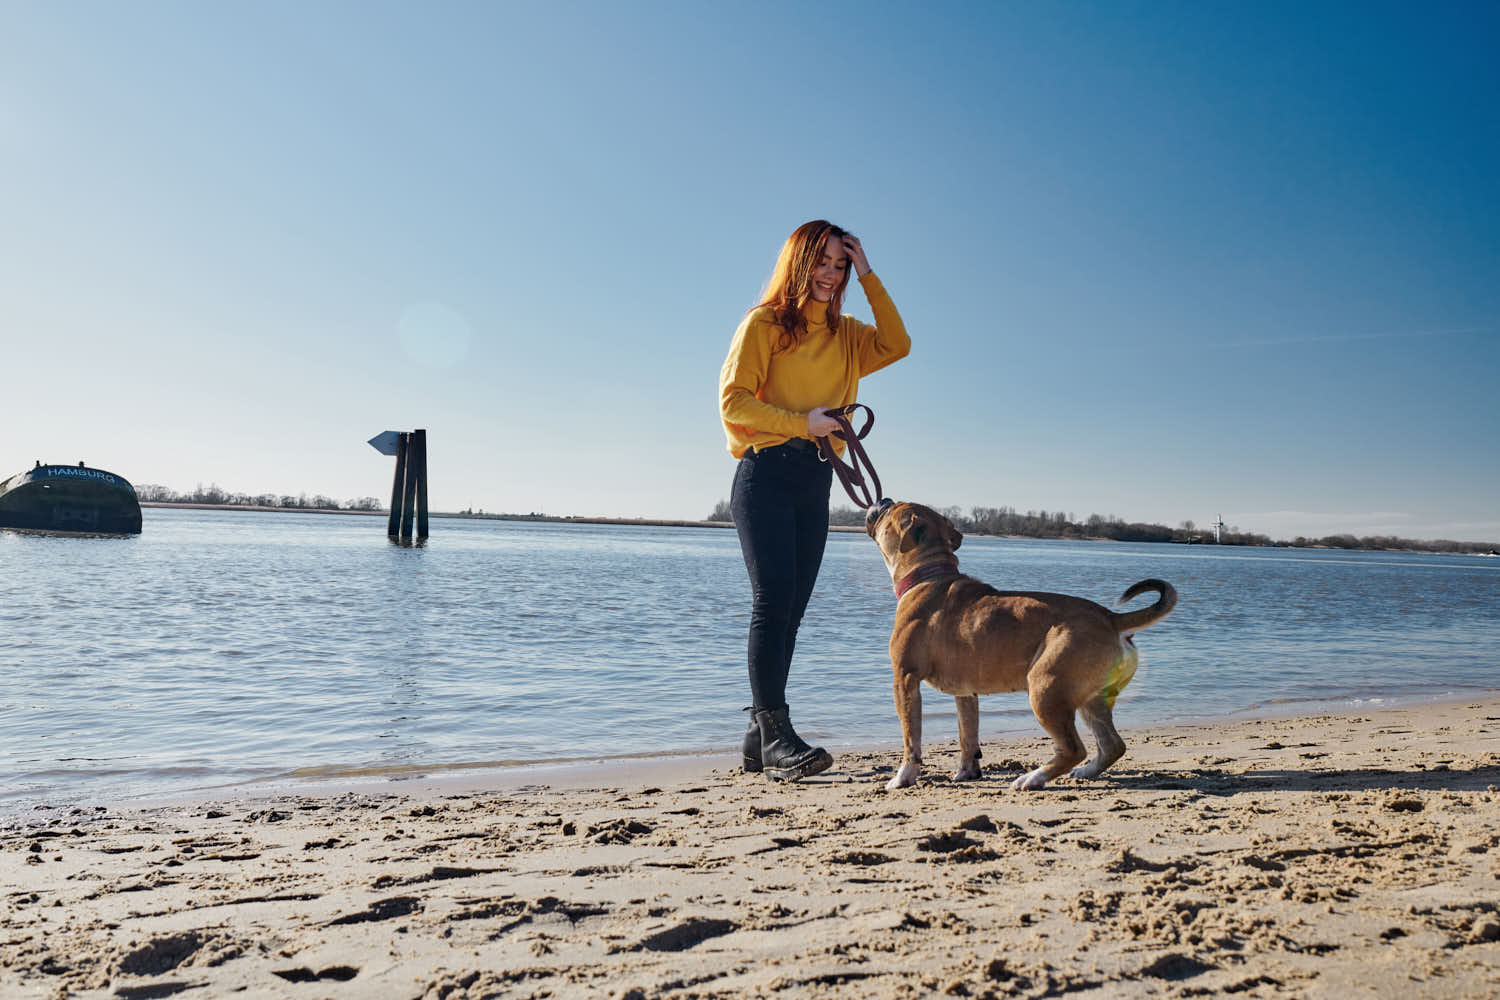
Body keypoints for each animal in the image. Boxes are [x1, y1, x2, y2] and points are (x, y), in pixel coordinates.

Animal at [864, 503, 1176, 791]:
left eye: (890, 509)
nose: (881, 500)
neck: (929, 574)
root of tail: (1111, 618)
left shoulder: (905, 679)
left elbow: (911, 737)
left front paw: (903, 777)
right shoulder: (965, 694)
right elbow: (968, 735)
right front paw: (967, 772)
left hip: (1045, 689)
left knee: (1073, 748)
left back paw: (1032, 778)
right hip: (1092, 700)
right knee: (1112, 745)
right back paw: (1086, 772)